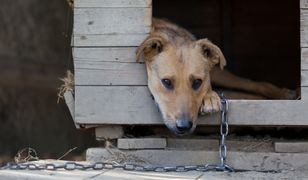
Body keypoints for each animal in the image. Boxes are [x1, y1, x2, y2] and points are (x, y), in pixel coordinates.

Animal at [137, 18, 296, 134]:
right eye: (166, 82)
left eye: (197, 82)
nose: (184, 126)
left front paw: (210, 97)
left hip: (221, 74)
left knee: (253, 84)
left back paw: (283, 95)